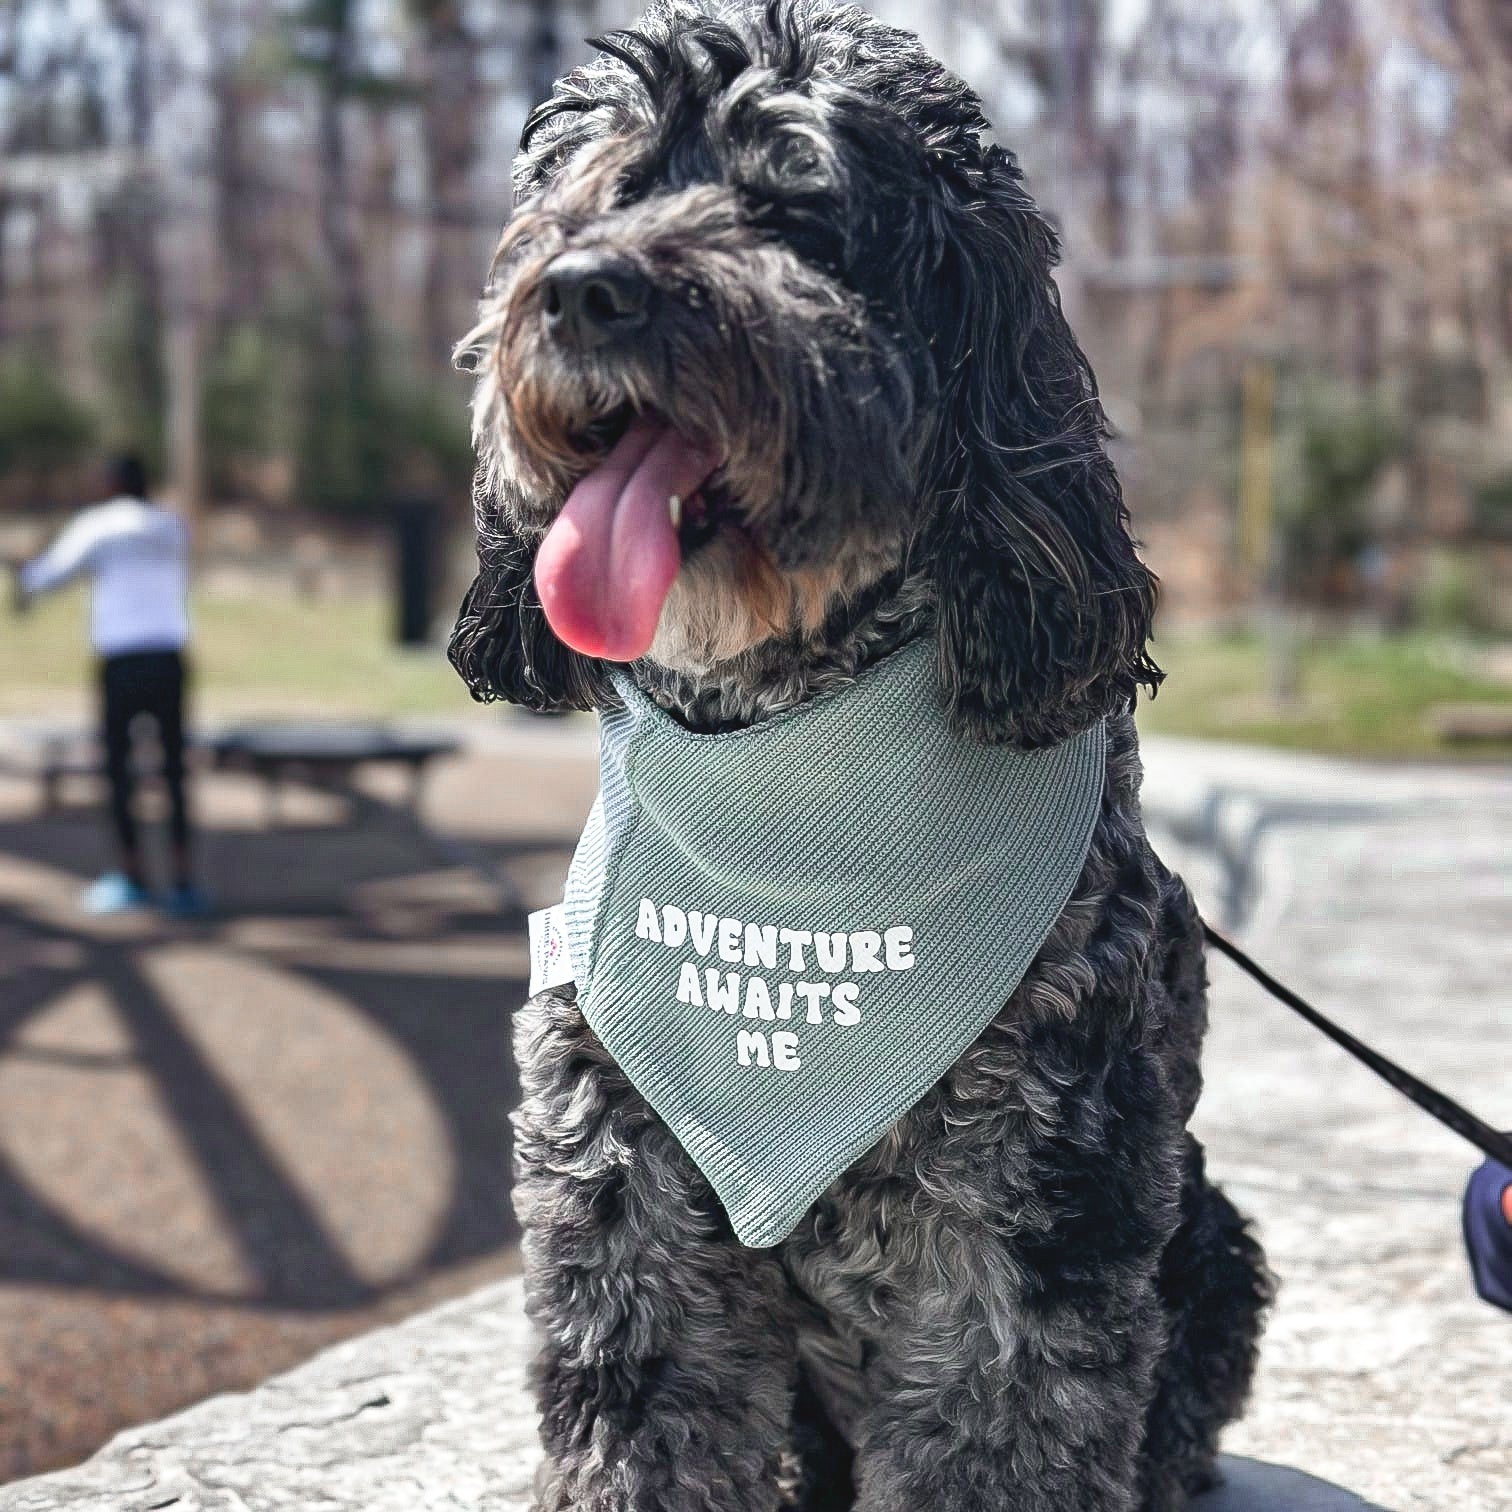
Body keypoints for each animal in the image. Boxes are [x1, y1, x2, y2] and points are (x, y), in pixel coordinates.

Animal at [450, 5, 1276, 1505]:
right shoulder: (625, 1194)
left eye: (797, 210)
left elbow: (1001, 1440)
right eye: (600, 194)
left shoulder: (1029, 1226)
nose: (587, 291)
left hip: (1212, 1237)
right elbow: (640, 1419)